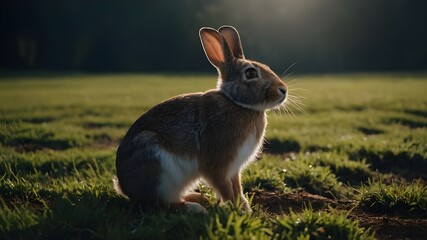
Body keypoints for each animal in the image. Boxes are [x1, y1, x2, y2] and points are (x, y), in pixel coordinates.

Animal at [113, 25, 288, 214]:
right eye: (250, 73)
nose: (283, 90)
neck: (237, 103)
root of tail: (124, 187)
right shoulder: (217, 163)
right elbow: (225, 188)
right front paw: (236, 210)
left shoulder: (234, 168)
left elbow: (237, 187)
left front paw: (244, 208)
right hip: (156, 165)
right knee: (160, 204)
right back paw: (195, 208)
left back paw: (199, 198)